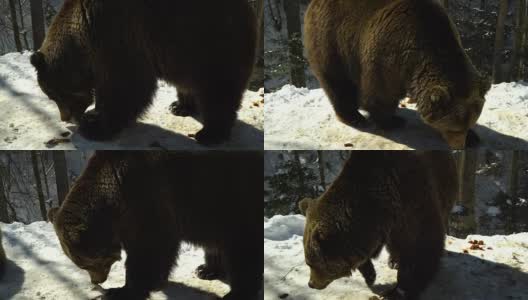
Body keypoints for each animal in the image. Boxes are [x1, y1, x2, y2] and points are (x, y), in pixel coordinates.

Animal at [31, 0, 258, 145]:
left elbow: (126, 85)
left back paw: (210, 134)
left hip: (209, 39)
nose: (65, 118)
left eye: (53, 95)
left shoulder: (117, 34)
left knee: (218, 88)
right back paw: (180, 106)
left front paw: (94, 125)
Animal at [48, 151, 262, 298]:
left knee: (241, 243)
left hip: (230, 190)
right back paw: (206, 269)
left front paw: (121, 291)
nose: (97, 281)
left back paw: (239, 291)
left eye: (84, 264)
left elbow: (149, 247)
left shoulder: (147, 196)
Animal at [302, 152, 458, 300]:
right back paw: (394, 261)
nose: (311, 284)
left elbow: (422, 249)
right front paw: (370, 275)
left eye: (311, 263)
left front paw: (397, 292)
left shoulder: (413, 204)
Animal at [306, 0, 490, 149]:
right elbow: (380, 95)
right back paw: (354, 117)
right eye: (453, 128)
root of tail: (313, 4)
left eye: (468, 124)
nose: (460, 146)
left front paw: (473, 137)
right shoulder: (388, 56)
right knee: (338, 83)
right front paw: (392, 121)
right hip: (332, 40)